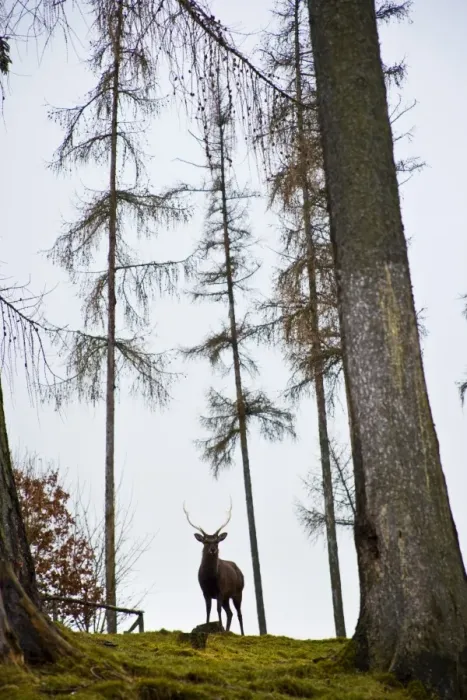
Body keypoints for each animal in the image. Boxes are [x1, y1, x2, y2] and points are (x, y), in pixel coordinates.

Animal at [183, 500, 245, 636]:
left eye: (217, 541)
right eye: (205, 541)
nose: (213, 549)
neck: (210, 579)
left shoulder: (220, 590)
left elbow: (217, 610)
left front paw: (219, 628)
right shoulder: (205, 591)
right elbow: (208, 609)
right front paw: (207, 627)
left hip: (238, 592)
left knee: (239, 613)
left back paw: (242, 633)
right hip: (227, 597)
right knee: (230, 613)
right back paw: (227, 631)